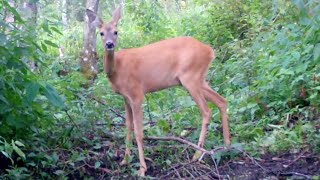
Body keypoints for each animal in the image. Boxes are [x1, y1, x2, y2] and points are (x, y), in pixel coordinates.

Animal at [85, 4, 230, 177]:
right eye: (101, 33)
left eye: (116, 31)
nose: (109, 44)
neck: (116, 69)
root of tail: (210, 51)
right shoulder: (125, 97)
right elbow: (128, 126)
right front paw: (125, 160)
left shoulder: (137, 94)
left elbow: (139, 132)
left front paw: (142, 169)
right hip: (199, 79)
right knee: (222, 101)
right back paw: (227, 144)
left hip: (191, 78)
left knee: (206, 111)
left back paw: (197, 154)